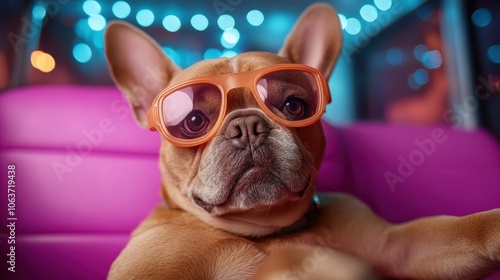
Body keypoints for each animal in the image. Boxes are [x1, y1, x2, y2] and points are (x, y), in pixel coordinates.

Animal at [103, 3, 498, 278]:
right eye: (194, 121)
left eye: (294, 105)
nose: (247, 126)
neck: (265, 231)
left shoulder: (400, 247)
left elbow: (465, 230)